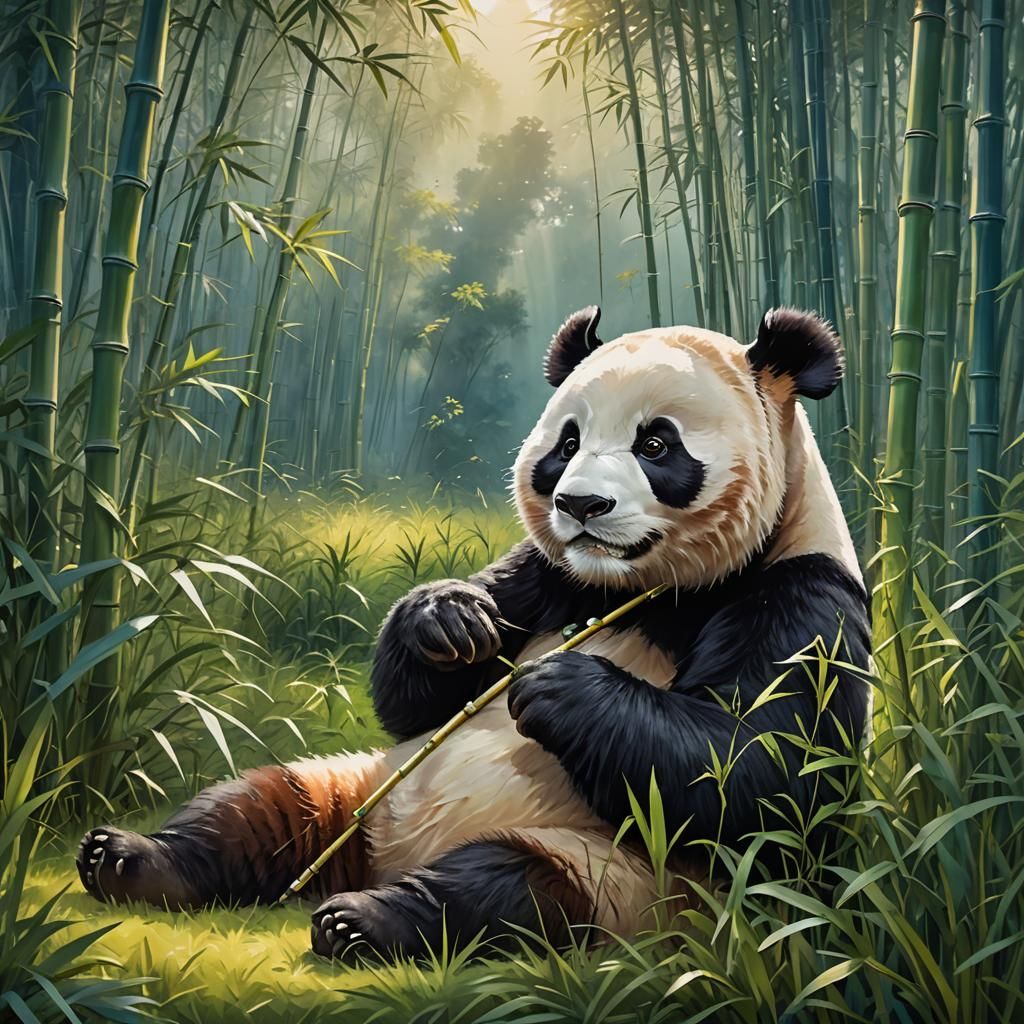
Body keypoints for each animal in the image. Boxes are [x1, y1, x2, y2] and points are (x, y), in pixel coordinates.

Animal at [77, 306, 871, 962]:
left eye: (656, 444)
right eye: (567, 442)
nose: (580, 504)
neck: (641, 590)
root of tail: (381, 857)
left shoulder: (800, 596)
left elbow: (763, 774)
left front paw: (562, 689)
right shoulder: (549, 577)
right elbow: (415, 702)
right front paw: (448, 619)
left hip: (621, 874)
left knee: (508, 889)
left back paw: (364, 920)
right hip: (361, 789)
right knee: (260, 800)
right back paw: (129, 859)